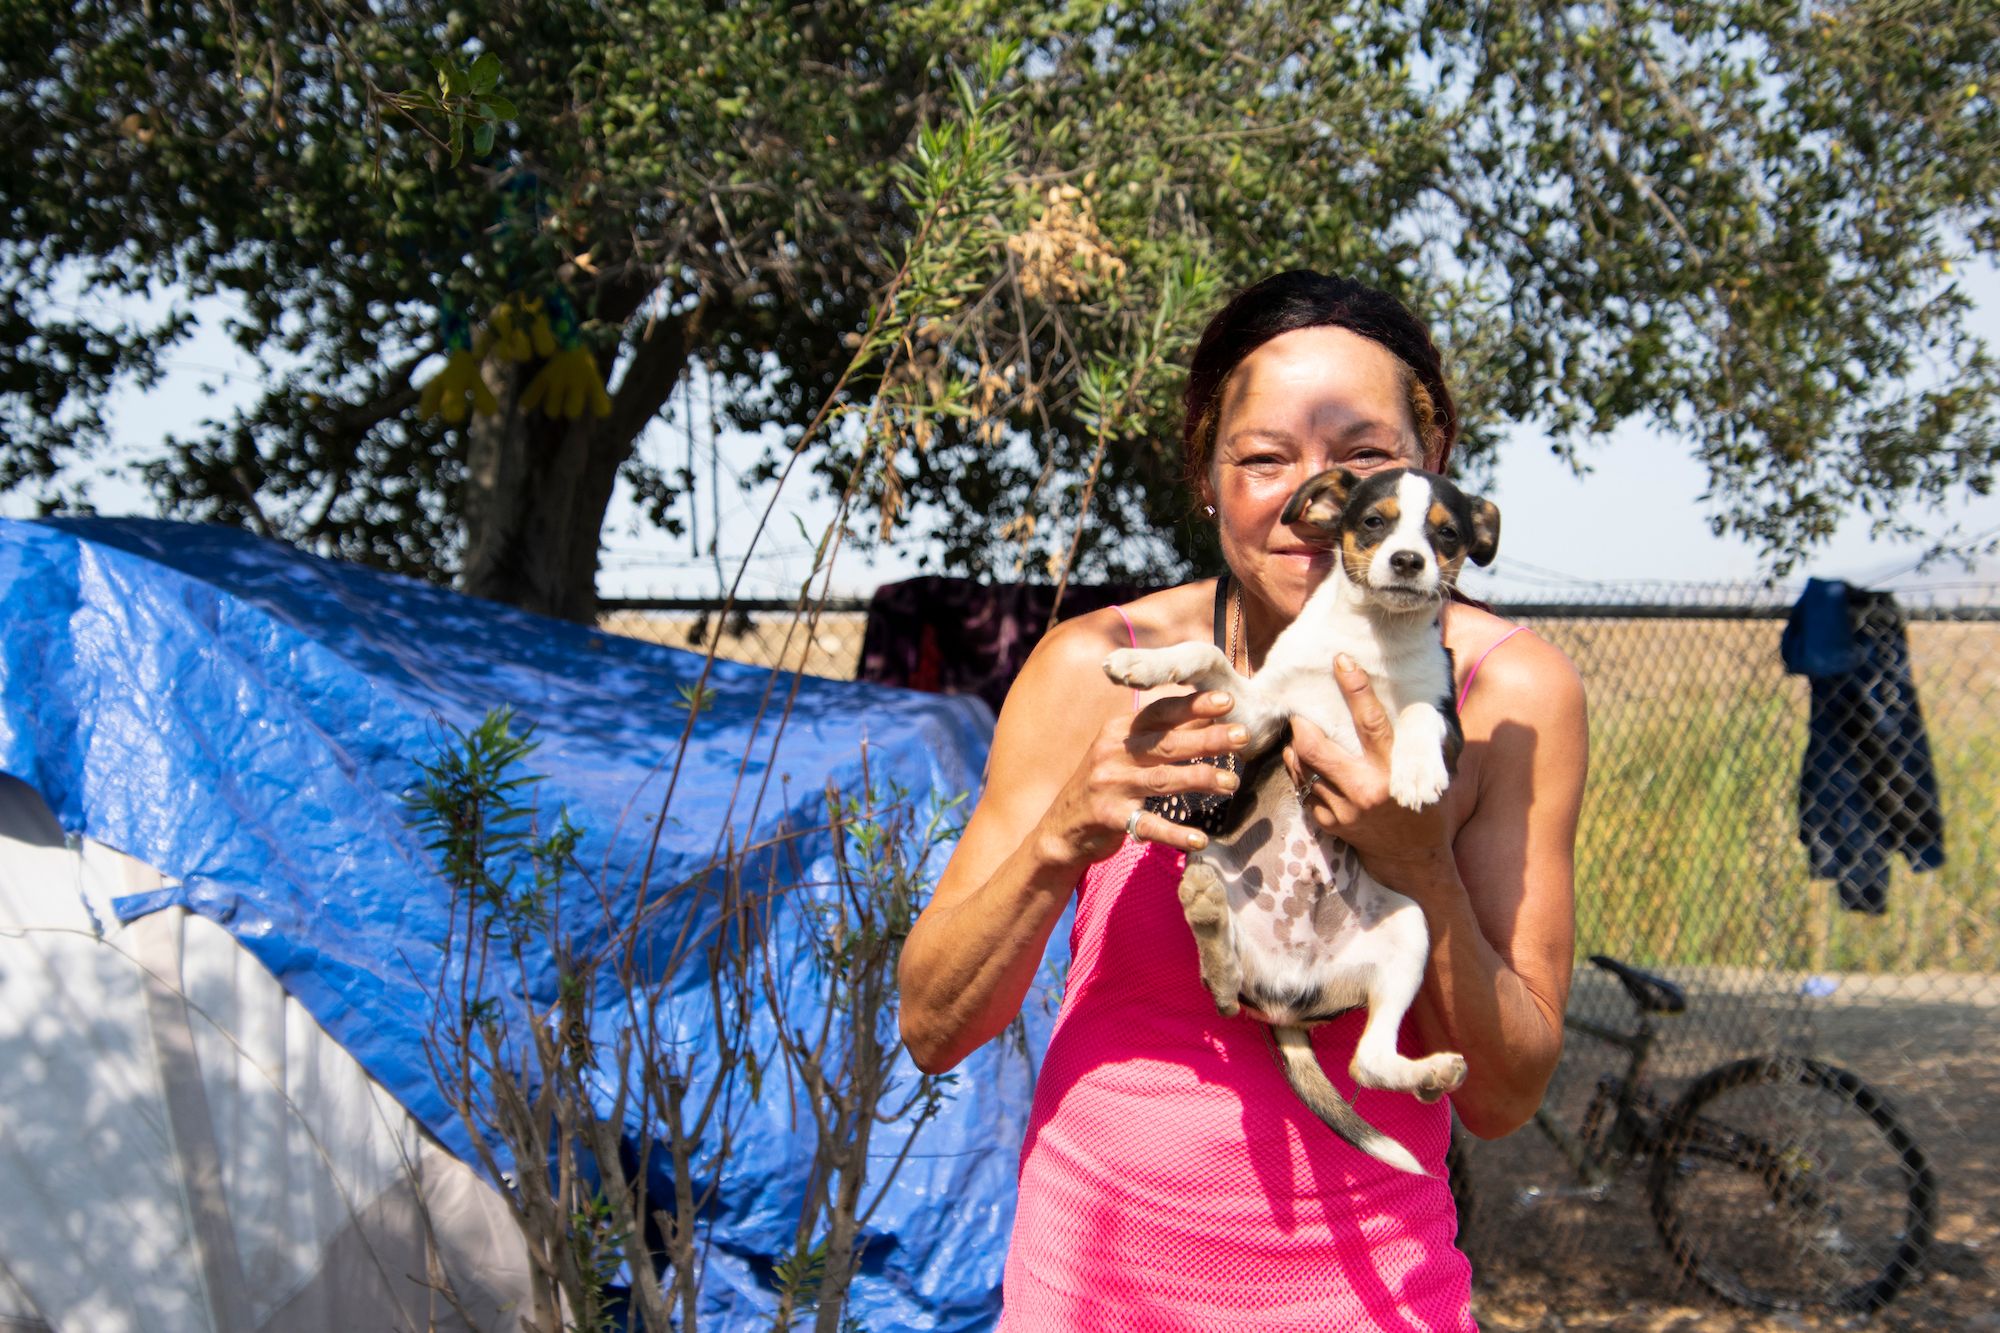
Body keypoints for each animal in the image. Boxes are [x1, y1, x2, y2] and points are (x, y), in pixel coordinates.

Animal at [1112, 466, 1504, 1176]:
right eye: (1374, 521)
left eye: (1447, 535)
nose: (1409, 562)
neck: (1372, 638)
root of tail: (1287, 994)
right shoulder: (1261, 713)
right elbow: (1207, 656)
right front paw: (1147, 664)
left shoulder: (1447, 721)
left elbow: (1416, 713)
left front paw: (1413, 773)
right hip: (1211, 859)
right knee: (1222, 988)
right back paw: (1208, 915)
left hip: (1410, 929)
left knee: (1363, 1062)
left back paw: (1429, 1074)